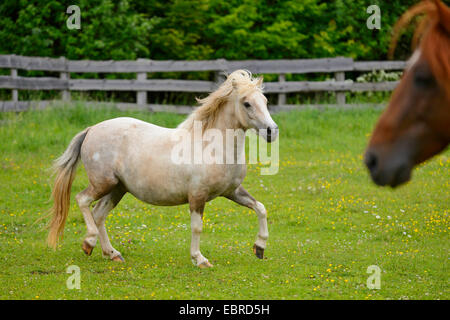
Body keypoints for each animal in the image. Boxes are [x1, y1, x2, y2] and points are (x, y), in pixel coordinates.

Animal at [46, 70, 278, 268]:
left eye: (265, 101)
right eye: (247, 103)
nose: (271, 132)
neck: (213, 147)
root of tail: (91, 129)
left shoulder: (232, 191)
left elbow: (261, 208)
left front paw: (259, 248)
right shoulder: (197, 196)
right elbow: (197, 227)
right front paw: (200, 259)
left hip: (118, 188)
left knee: (99, 214)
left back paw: (112, 254)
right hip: (103, 183)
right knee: (83, 200)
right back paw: (89, 243)